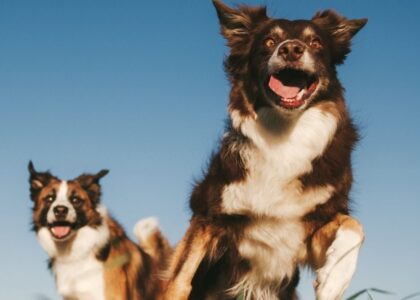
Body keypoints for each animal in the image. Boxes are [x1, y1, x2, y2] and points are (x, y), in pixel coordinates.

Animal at [164, 1, 368, 298]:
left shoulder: (309, 230)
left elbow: (355, 226)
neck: (284, 134)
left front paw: (333, 279)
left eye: (316, 42)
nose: (291, 49)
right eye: (269, 41)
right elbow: (180, 281)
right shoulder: (208, 216)